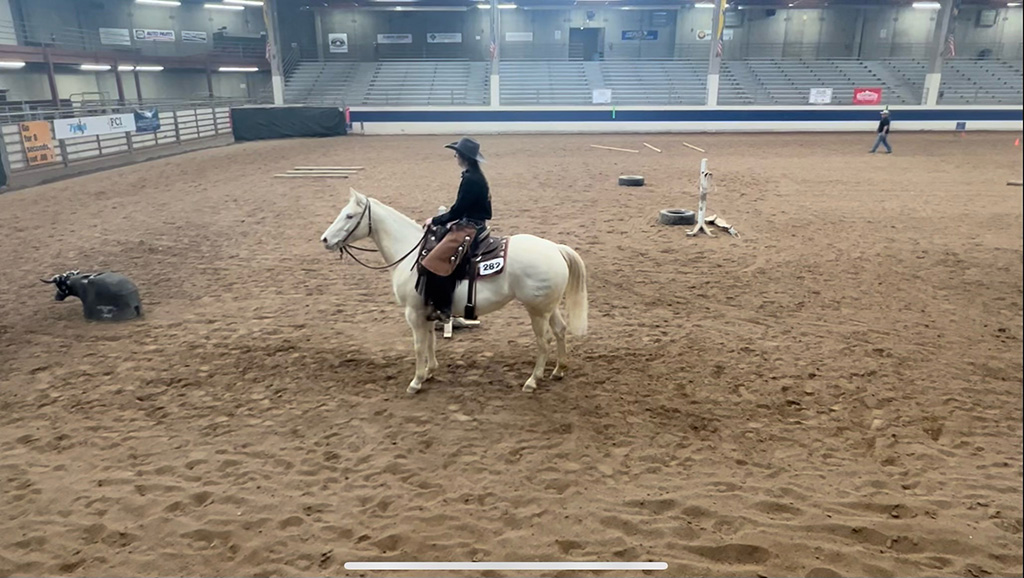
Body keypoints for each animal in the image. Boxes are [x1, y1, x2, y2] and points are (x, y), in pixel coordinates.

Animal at [323, 188, 589, 393]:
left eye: (349, 215)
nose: (325, 240)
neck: (411, 253)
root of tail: (556, 248)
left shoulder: (413, 313)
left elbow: (419, 345)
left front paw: (416, 381)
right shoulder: (427, 312)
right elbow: (430, 342)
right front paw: (430, 372)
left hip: (537, 311)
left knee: (544, 341)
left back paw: (532, 381)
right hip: (547, 307)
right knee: (560, 330)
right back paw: (558, 370)